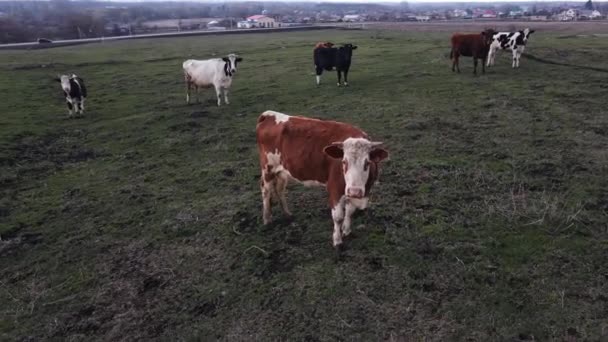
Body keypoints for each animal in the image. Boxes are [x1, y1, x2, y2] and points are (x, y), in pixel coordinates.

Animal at [253, 111, 388, 252]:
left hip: (282, 171)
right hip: (268, 168)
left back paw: (288, 214)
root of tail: (268, 114)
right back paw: (267, 220)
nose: (355, 191)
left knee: (280, 189)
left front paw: (346, 231)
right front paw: (338, 241)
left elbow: (350, 211)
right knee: (266, 191)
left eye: (367, 162)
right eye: (344, 162)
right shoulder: (335, 188)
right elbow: (338, 217)